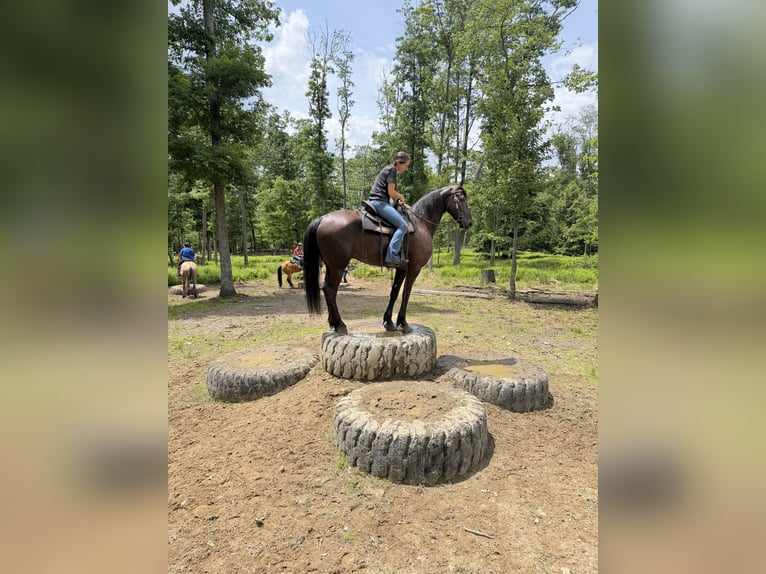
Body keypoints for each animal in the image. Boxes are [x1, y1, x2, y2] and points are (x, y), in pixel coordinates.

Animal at [303, 184, 472, 334]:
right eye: (461, 198)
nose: (469, 222)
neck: (421, 223)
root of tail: (323, 218)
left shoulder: (402, 268)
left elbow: (395, 292)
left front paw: (389, 322)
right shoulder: (414, 268)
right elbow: (406, 293)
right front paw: (403, 323)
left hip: (330, 266)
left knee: (326, 288)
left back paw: (333, 323)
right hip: (338, 266)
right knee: (331, 290)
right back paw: (340, 324)